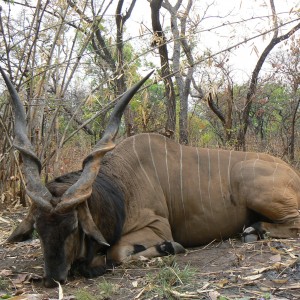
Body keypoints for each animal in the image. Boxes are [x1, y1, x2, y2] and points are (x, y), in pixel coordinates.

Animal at [0, 68, 300, 288]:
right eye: (39, 229)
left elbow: (118, 252)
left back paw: (256, 230)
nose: (53, 279)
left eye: (74, 227)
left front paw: (169, 247)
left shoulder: (157, 227)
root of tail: (292, 173)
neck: (121, 187)